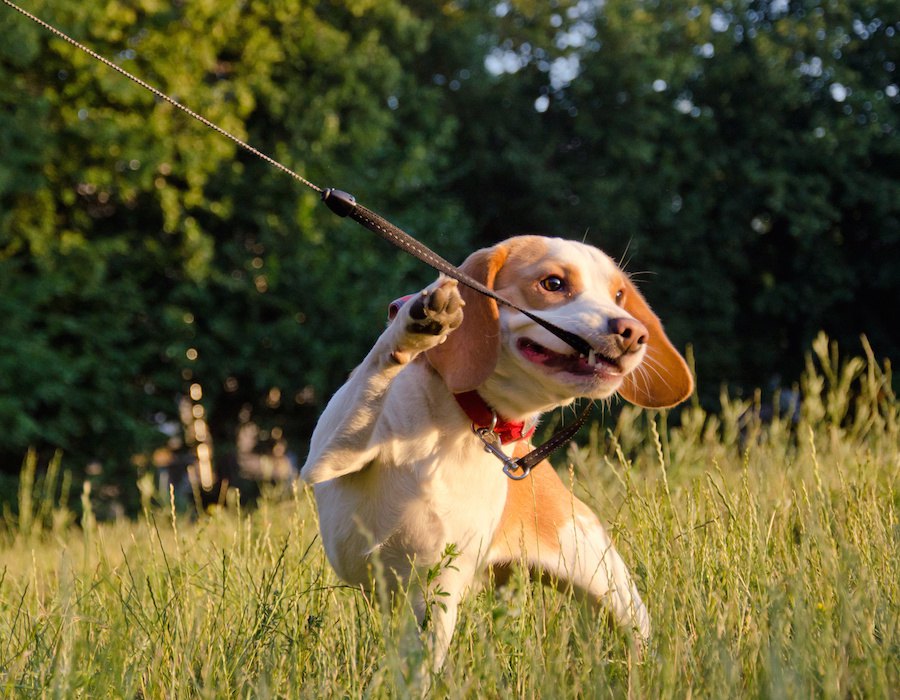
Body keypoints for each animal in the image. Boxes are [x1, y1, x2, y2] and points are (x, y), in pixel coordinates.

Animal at [298, 235, 692, 668]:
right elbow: (377, 367)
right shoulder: (327, 457)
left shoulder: (435, 594)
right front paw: (414, 328)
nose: (633, 331)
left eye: (618, 295)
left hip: (616, 596)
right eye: (553, 283)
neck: (460, 421)